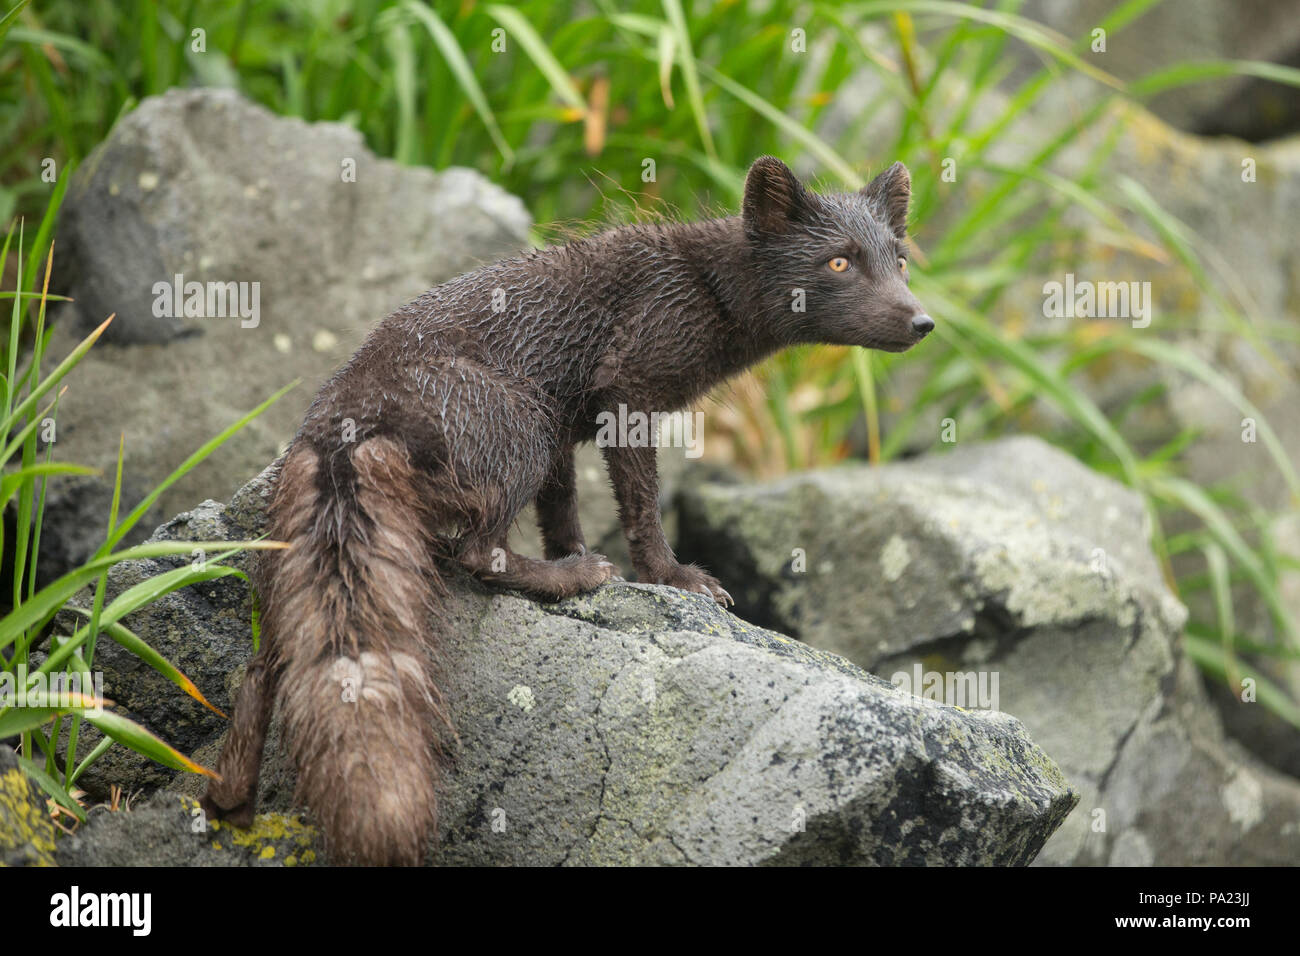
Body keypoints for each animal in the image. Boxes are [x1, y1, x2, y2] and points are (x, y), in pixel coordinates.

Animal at [200, 156, 932, 864]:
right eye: (838, 262)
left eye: (900, 259)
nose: (923, 322)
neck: (703, 288)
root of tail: (346, 417)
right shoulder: (626, 389)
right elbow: (641, 505)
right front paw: (668, 577)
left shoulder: (565, 431)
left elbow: (563, 512)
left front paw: (575, 552)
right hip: (519, 422)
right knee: (474, 552)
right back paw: (577, 579)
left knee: (261, 672)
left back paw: (231, 804)